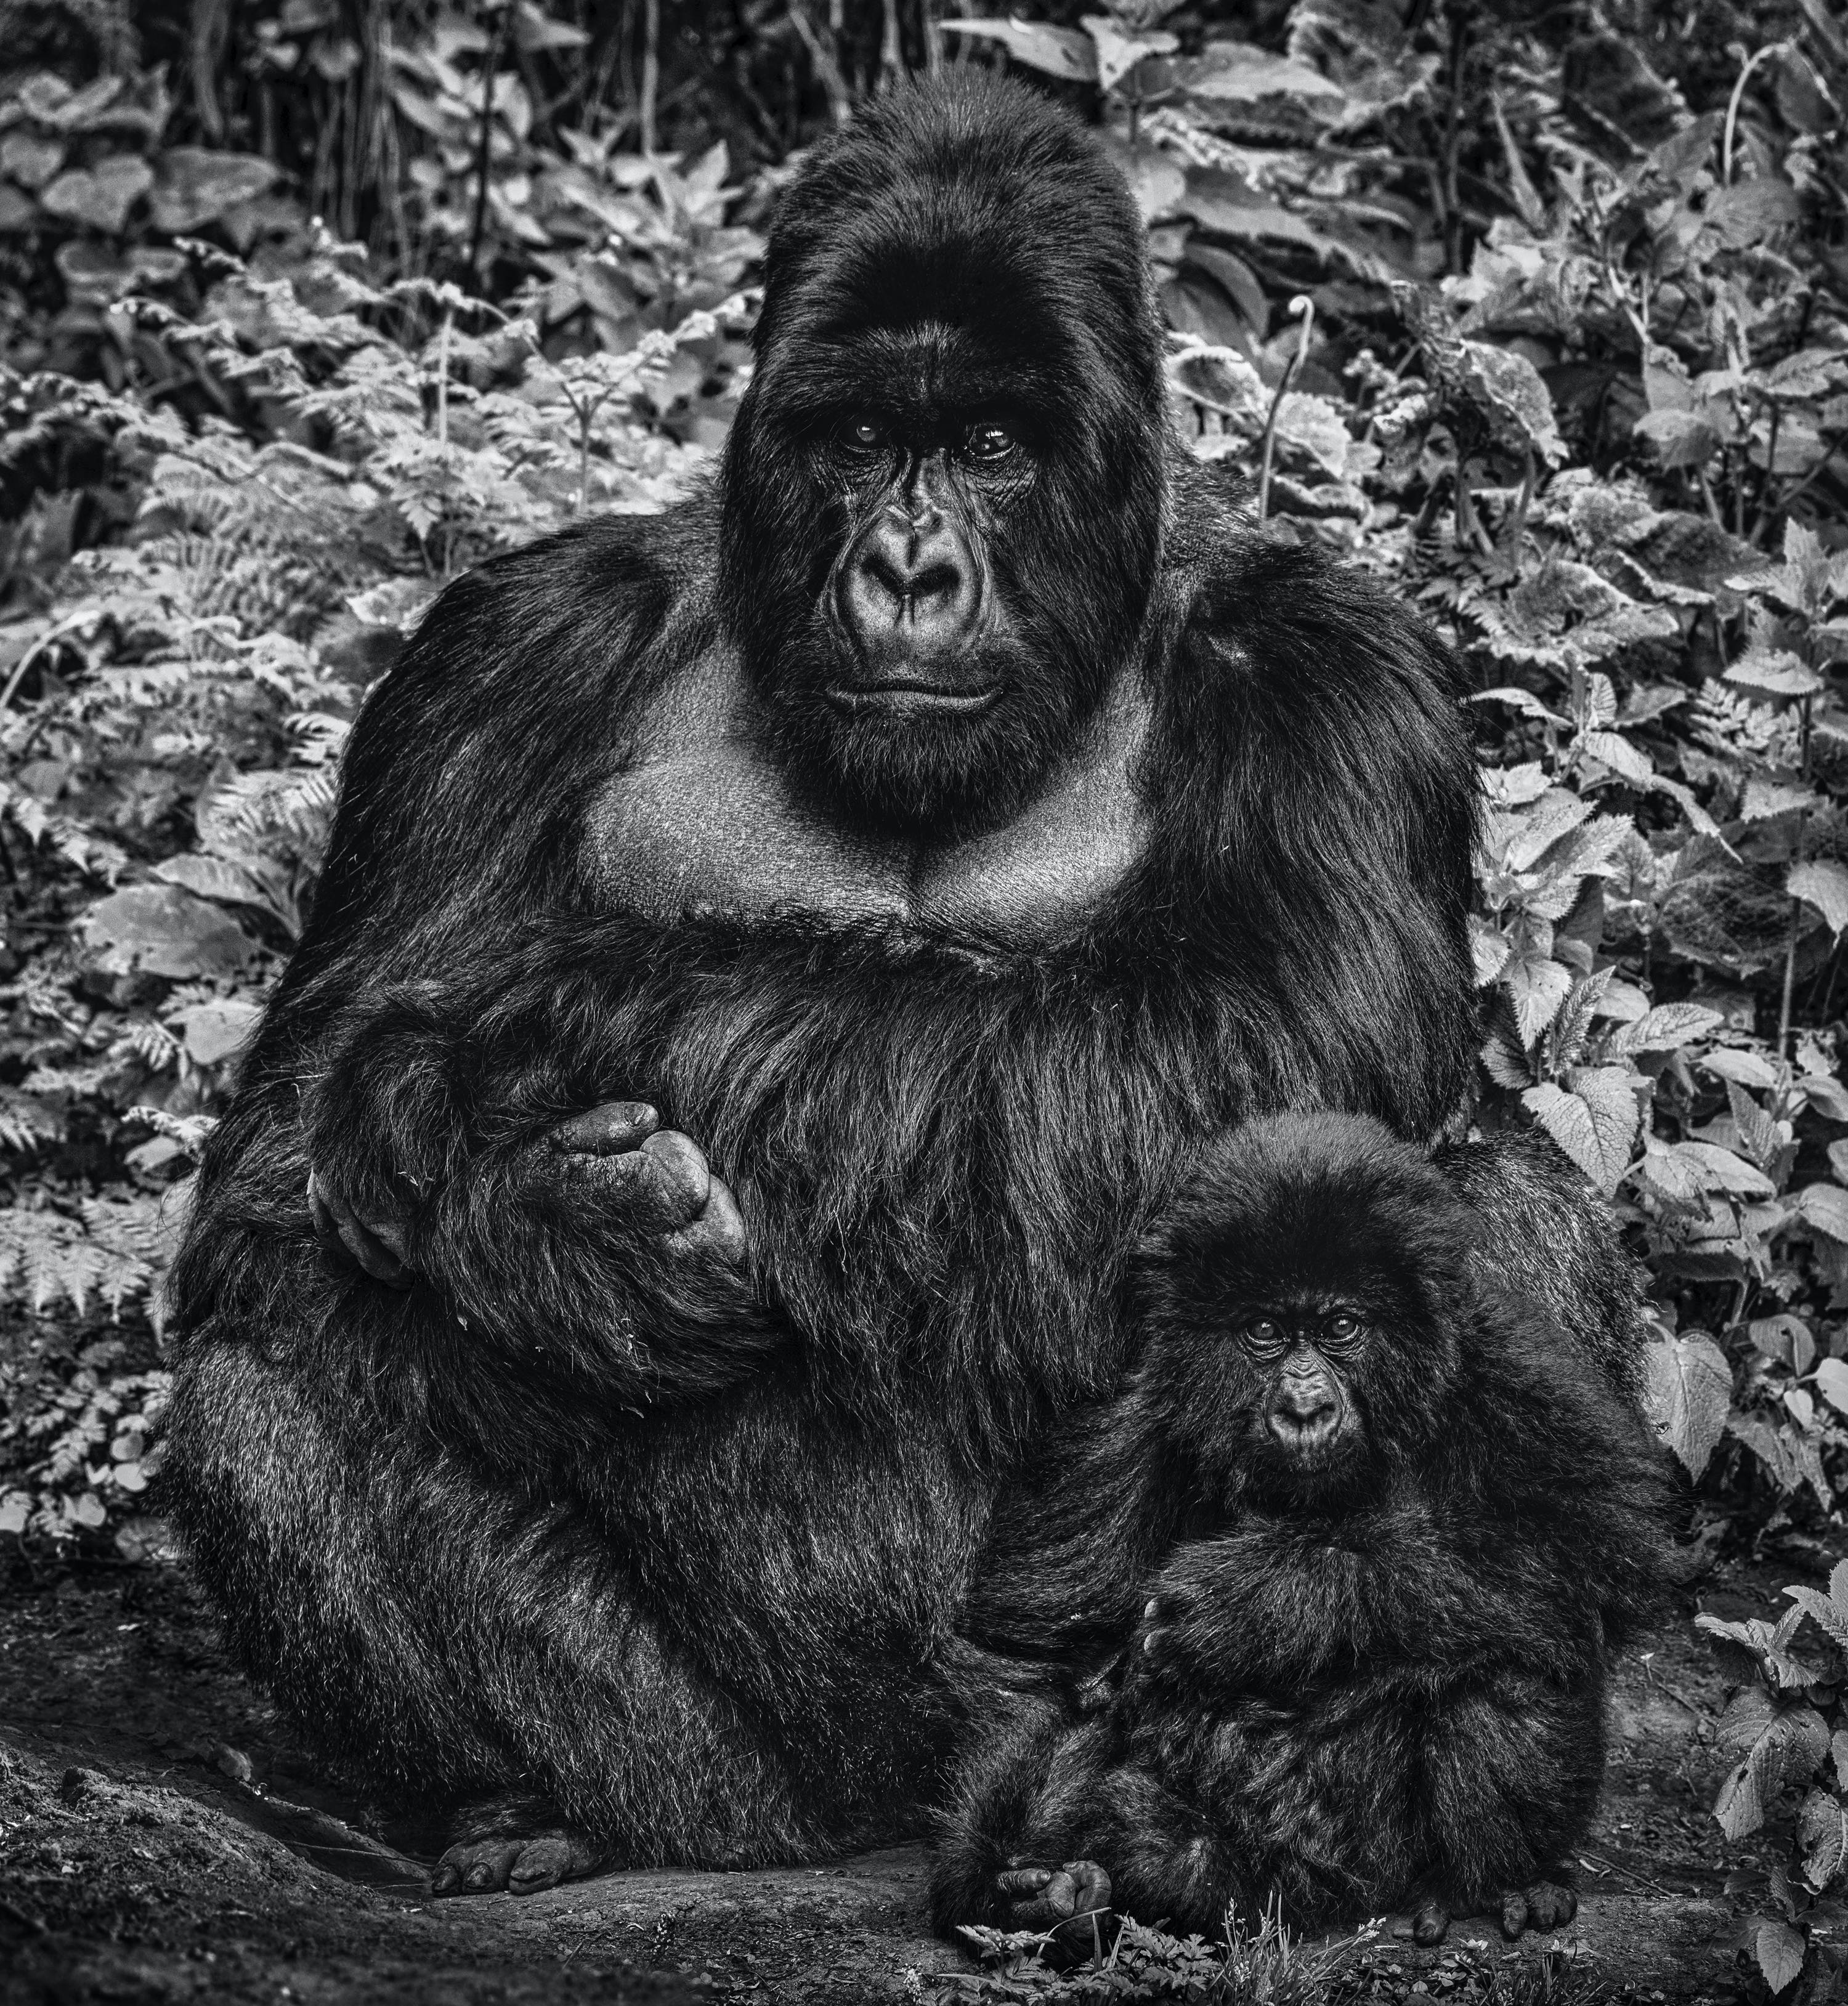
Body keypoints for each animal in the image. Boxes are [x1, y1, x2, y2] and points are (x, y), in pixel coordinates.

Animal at [931, 1115, 1669, 1941]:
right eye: (1265, 1330)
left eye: (1341, 1325)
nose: (1305, 1407)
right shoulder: (1133, 1417)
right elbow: (1037, 1653)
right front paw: (993, 1877)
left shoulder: (1514, 1369)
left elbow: (1590, 1545)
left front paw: (1268, 1600)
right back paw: (1106, 1885)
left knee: (1510, 1646)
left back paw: (1495, 1881)